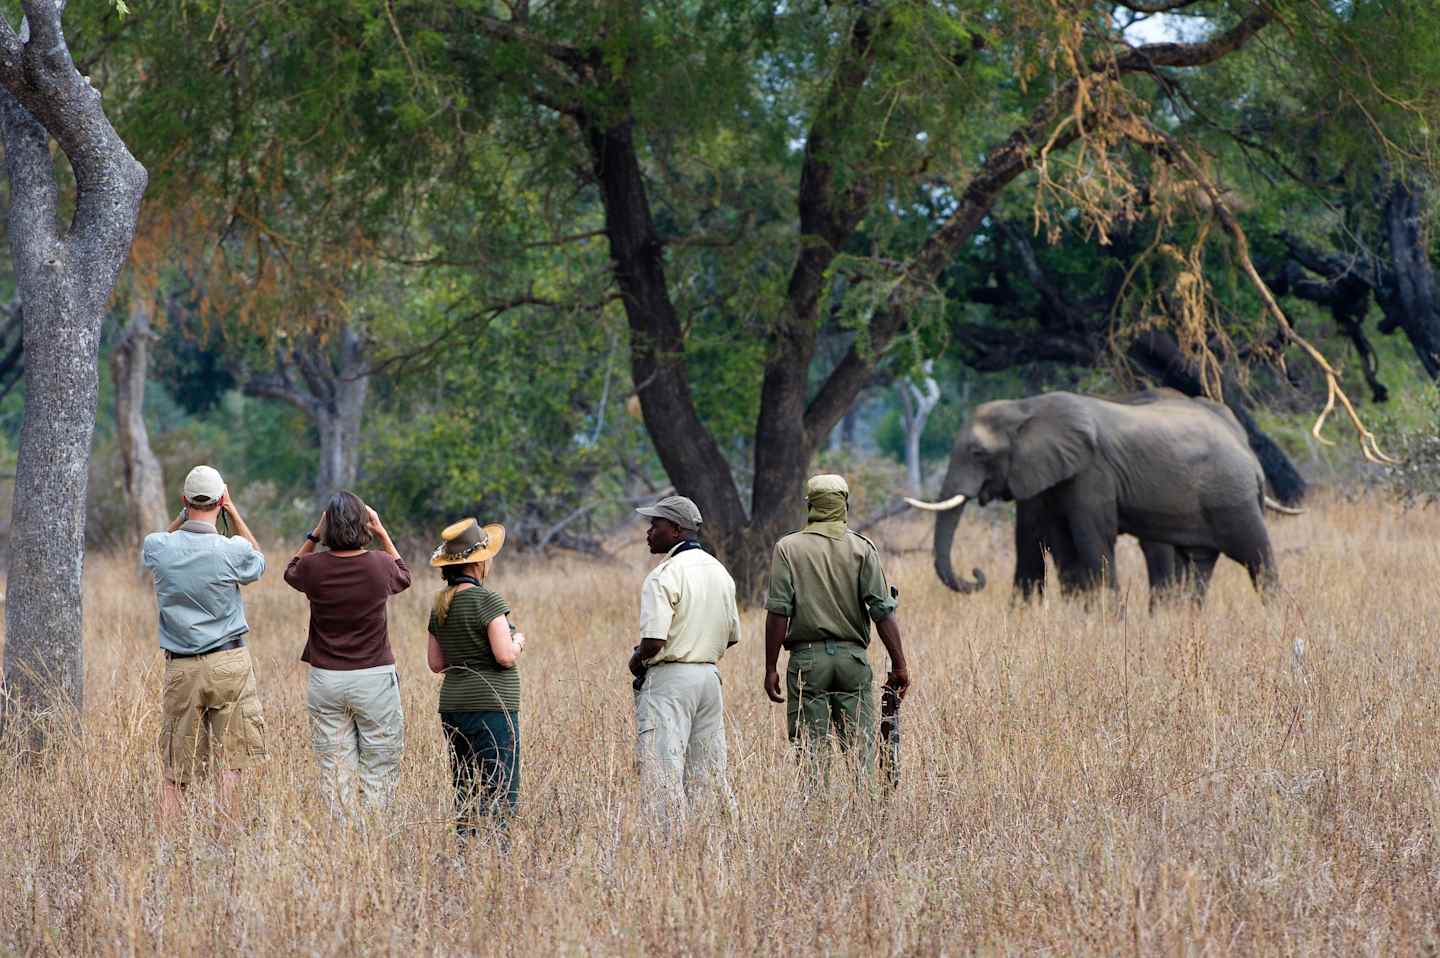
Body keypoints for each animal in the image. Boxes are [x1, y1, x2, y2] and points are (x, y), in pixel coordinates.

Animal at [904, 389, 1301, 603]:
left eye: (978, 453)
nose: (976, 573)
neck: (1026, 407)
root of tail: (1248, 453)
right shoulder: (1052, 478)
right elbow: (1060, 544)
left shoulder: (1093, 473)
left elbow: (1092, 539)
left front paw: (1108, 620)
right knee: (1199, 563)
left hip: (1233, 494)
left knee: (1258, 557)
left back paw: (1276, 615)